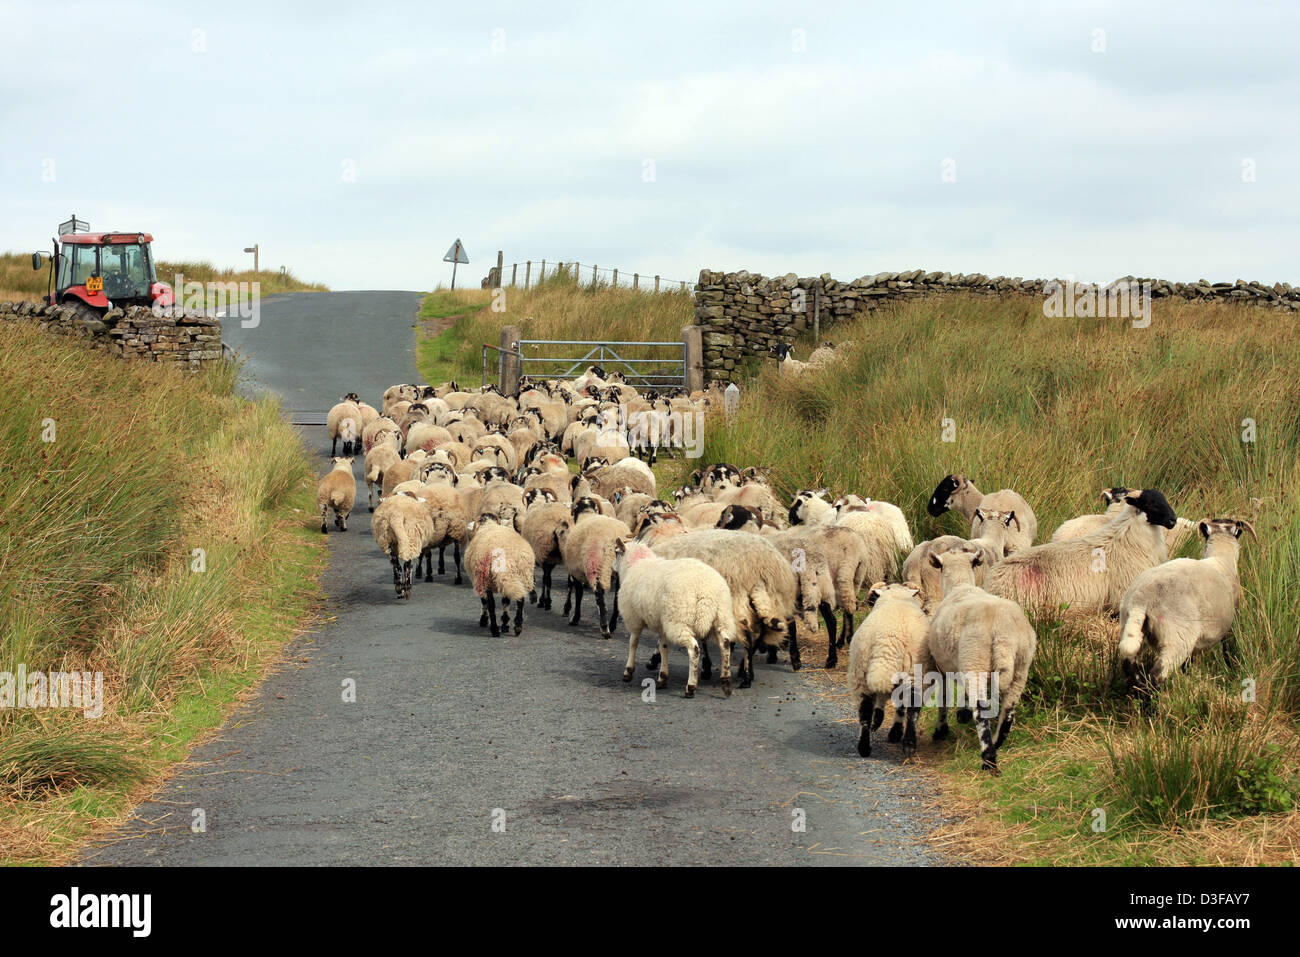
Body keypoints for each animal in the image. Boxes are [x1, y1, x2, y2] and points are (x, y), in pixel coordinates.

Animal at [613, 540, 737, 698]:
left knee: (694, 649)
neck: (635, 565)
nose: (612, 568)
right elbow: (664, 647)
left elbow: (633, 643)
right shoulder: (662, 625)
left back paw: (691, 687)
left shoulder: (634, 618)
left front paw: (628, 672)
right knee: (725, 644)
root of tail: (706, 591)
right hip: (721, 617)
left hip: (679, 621)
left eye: (616, 552)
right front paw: (662, 678)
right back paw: (726, 683)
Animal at [847, 583, 929, 758]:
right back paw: (908, 744)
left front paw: (878, 720)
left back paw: (864, 747)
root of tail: (891, 640)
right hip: (915, 673)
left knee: (865, 710)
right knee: (912, 709)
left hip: (862, 672)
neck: (897, 598)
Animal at [925, 547, 1037, 774]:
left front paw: (942, 729)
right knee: (1008, 712)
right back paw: (996, 743)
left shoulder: (942, 667)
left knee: (981, 710)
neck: (960, 585)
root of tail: (1003, 631)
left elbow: (944, 698)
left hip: (974, 657)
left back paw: (988, 758)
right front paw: (962, 713)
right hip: (1021, 665)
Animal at [1117, 518, 1256, 705]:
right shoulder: (1231, 625)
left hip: (1129, 626)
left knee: (1132, 669)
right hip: (1177, 638)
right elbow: (1229, 652)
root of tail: (1142, 600)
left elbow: (1188, 665)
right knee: (1155, 677)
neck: (1221, 558)